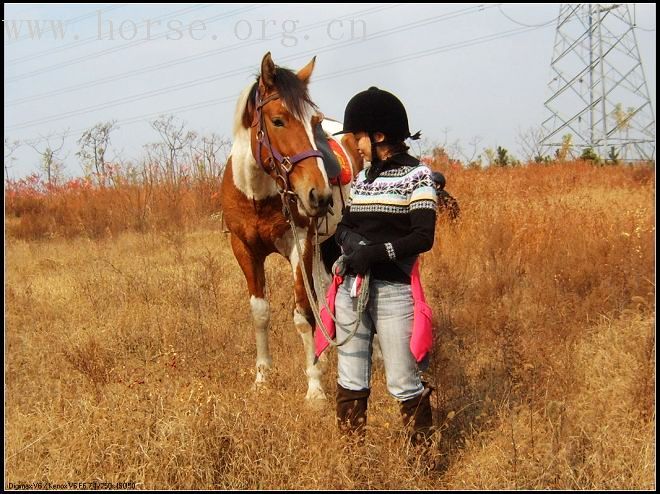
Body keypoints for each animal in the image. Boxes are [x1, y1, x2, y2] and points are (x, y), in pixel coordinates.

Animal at [219, 53, 364, 402]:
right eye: (278, 120)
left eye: (313, 122)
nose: (319, 195)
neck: (257, 196)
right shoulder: (244, 250)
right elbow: (260, 312)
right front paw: (262, 378)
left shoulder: (299, 245)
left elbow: (302, 314)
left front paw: (314, 387)